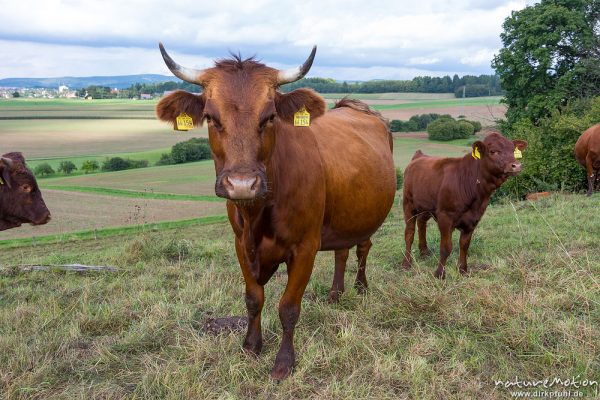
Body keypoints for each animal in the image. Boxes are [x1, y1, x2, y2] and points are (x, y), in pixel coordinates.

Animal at [157, 43, 396, 378]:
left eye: (269, 116)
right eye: (210, 117)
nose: (242, 184)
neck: (257, 215)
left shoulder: (305, 247)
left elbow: (289, 307)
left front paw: (284, 362)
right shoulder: (240, 244)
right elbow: (253, 299)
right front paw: (251, 346)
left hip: (366, 216)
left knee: (363, 248)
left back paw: (360, 288)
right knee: (342, 251)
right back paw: (335, 294)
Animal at [404, 133, 524, 280]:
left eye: (513, 150)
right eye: (493, 151)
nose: (516, 165)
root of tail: (420, 156)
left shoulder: (473, 218)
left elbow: (464, 245)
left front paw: (463, 270)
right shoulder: (445, 216)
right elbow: (446, 247)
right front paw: (439, 274)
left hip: (426, 206)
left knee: (421, 223)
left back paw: (424, 252)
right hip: (408, 204)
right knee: (409, 233)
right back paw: (406, 263)